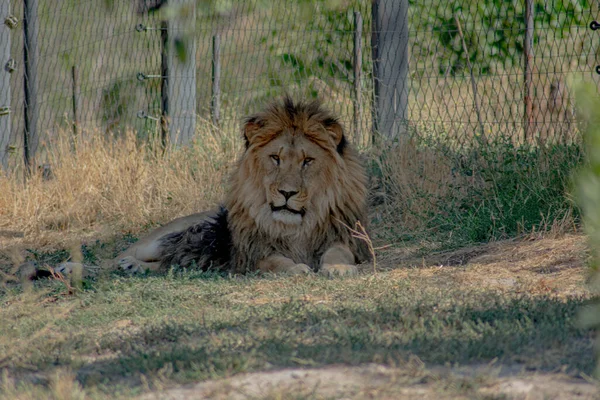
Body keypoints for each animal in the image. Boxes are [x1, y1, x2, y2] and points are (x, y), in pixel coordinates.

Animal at [116, 97, 370, 278]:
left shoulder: (345, 238)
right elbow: (275, 261)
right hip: (160, 239)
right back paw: (128, 264)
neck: (296, 227)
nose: (287, 193)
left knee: (170, 263)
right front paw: (296, 269)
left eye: (307, 161)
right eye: (276, 158)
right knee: (122, 255)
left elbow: (339, 252)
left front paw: (338, 268)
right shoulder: (254, 253)